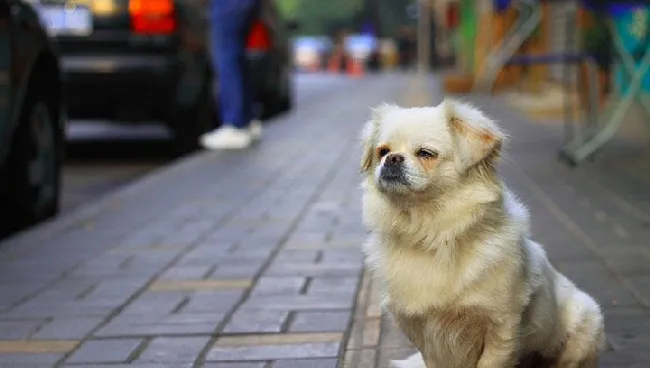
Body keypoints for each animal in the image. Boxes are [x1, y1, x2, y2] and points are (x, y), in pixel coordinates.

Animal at [360, 100, 604, 368]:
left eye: (425, 154)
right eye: (382, 151)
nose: (392, 159)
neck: (433, 231)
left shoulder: (502, 327)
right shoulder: (422, 331)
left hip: (586, 326)